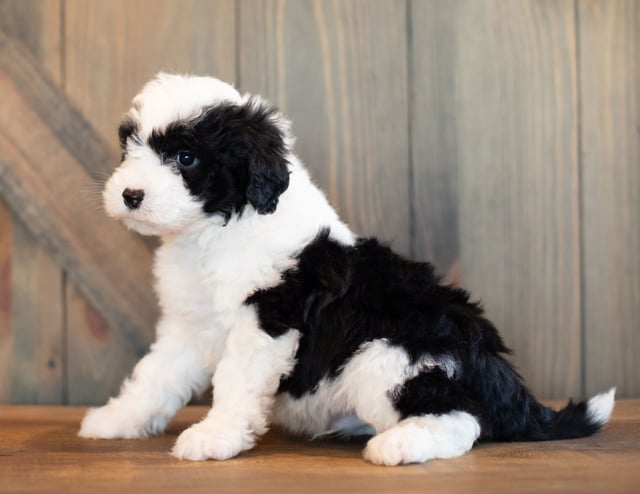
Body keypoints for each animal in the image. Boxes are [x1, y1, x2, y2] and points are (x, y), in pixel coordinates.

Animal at [80, 73, 616, 466]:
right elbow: (154, 376)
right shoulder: (187, 325)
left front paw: (214, 435)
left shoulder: (267, 321)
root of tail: (494, 367)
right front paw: (117, 419)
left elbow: (234, 382)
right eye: (129, 150)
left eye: (185, 157)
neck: (214, 229)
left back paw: (399, 444)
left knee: (464, 418)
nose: (130, 194)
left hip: (388, 355)